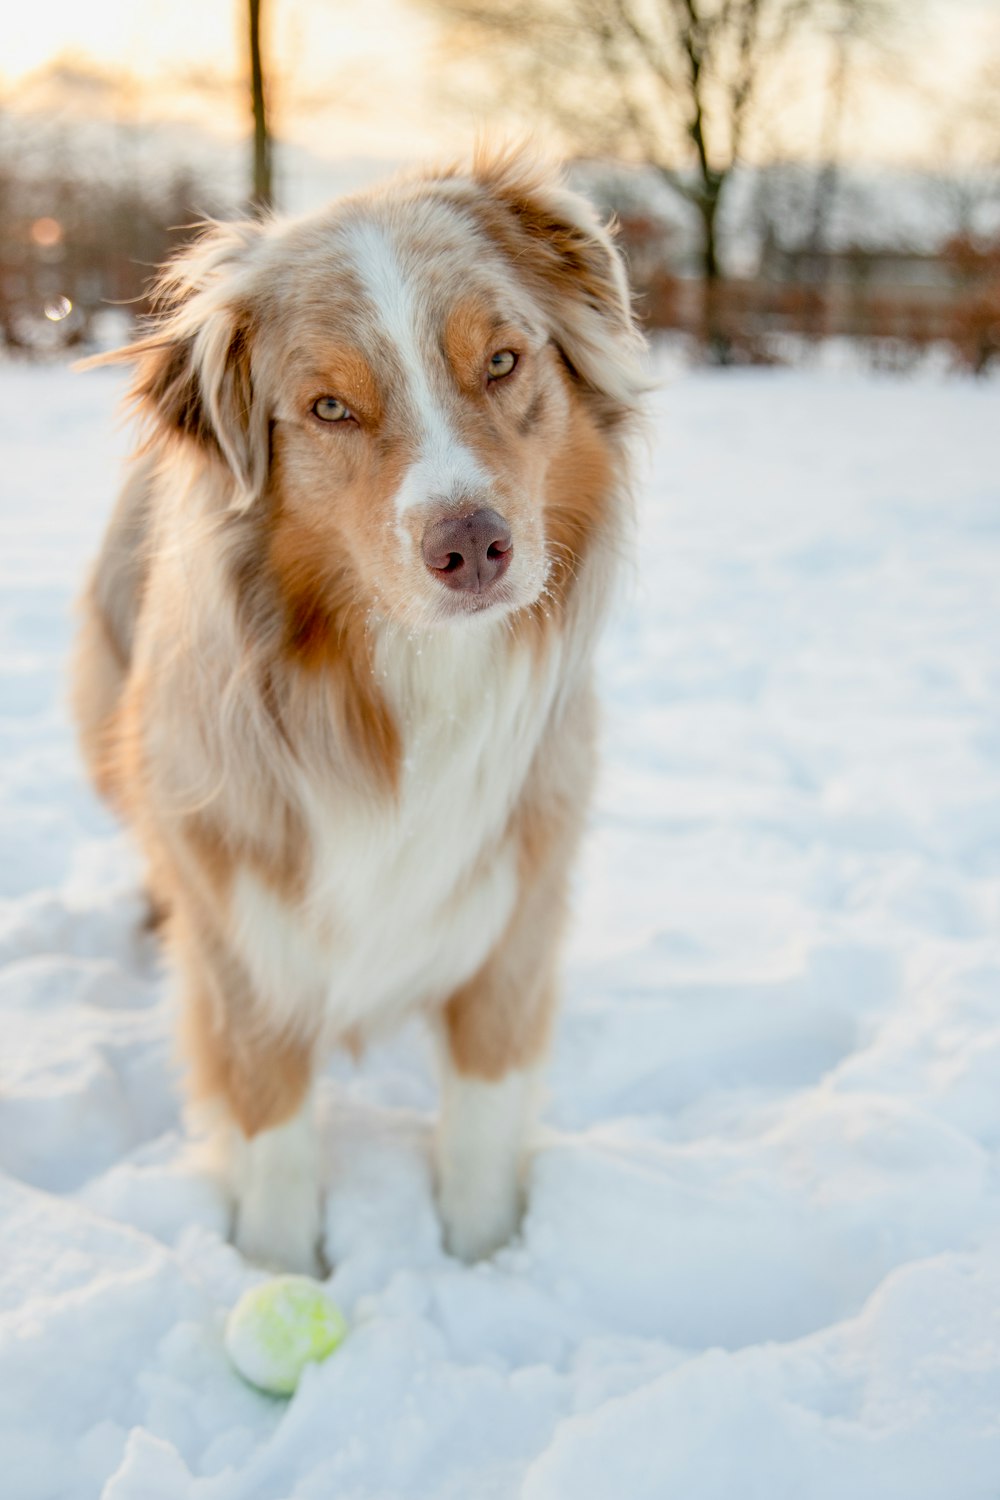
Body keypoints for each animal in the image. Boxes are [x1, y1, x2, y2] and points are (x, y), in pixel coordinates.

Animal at [74, 146, 644, 1272]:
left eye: (503, 361)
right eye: (330, 409)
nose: (471, 546)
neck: (412, 683)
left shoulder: (514, 902)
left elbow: (481, 1114)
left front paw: (482, 1262)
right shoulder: (245, 933)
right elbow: (273, 1127)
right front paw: (279, 1267)